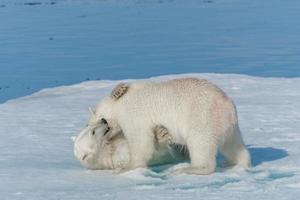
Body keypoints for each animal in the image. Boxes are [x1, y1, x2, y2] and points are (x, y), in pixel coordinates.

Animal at [85, 77, 250, 174]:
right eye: (90, 125)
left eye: (101, 119)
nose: (102, 126)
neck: (120, 103)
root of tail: (229, 108)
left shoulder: (134, 114)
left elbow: (141, 141)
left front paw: (128, 167)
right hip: (227, 126)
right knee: (233, 145)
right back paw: (237, 163)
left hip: (202, 117)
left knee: (200, 142)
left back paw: (190, 168)